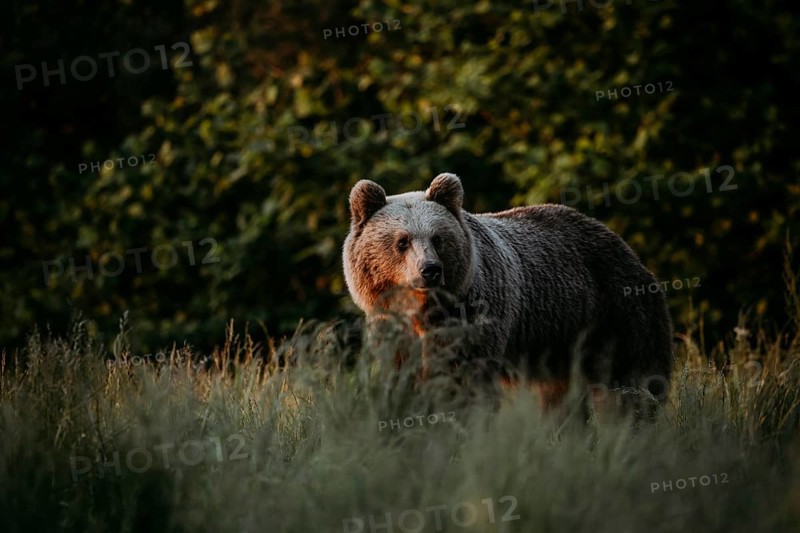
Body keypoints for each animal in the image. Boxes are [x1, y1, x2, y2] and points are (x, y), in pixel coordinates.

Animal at [342, 172, 673, 414]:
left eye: (437, 238)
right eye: (402, 241)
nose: (430, 269)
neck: (422, 309)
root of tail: (621, 242)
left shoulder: (472, 318)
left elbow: (462, 379)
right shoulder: (391, 327)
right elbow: (399, 379)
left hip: (616, 313)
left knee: (636, 378)